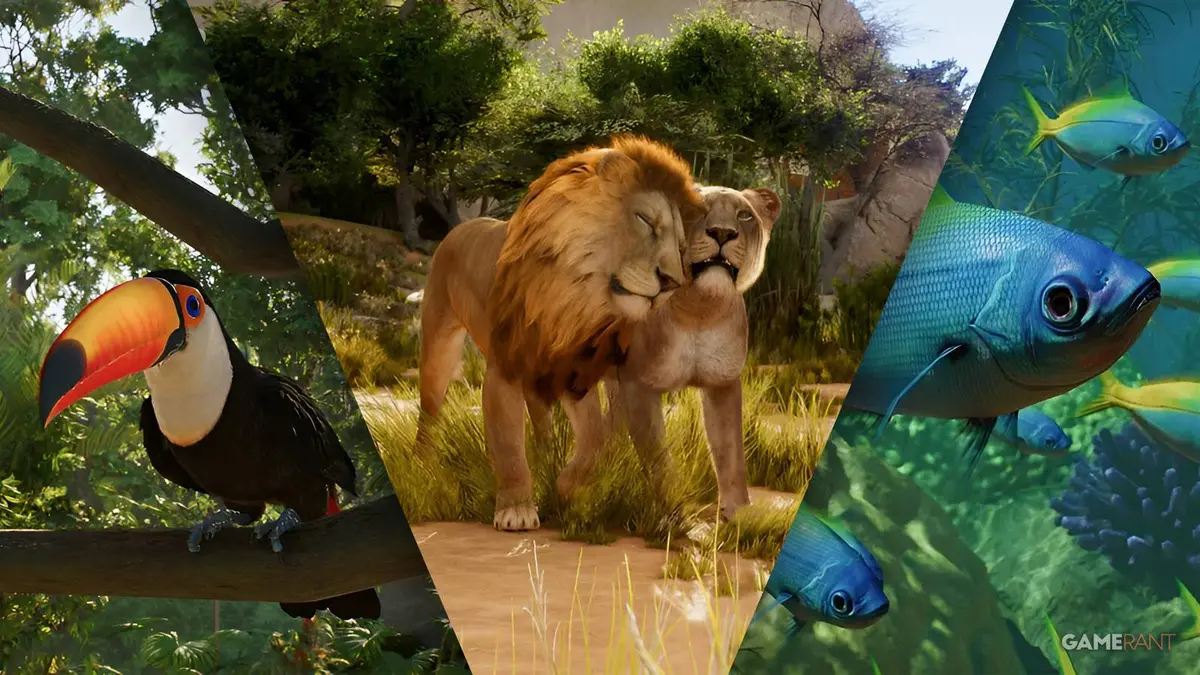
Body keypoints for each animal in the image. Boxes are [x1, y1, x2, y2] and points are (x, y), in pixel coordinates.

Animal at [416, 136, 707, 531]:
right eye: (645, 220)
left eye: (680, 246)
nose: (671, 282)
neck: (582, 303)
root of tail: (458, 228)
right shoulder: (505, 367)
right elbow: (507, 446)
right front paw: (517, 509)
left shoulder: (578, 371)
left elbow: (599, 437)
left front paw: (568, 487)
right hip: (439, 350)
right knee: (428, 411)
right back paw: (420, 466)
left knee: (543, 419)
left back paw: (546, 457)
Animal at [555, 185, 781, 521]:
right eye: (697, 210)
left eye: (744, 215)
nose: (722, 233)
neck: (698, 308)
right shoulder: (639, 385)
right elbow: (657, 455)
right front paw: (674, 513)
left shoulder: (722, 383)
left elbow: (731, 452)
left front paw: (738, 514)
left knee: (605, 429)